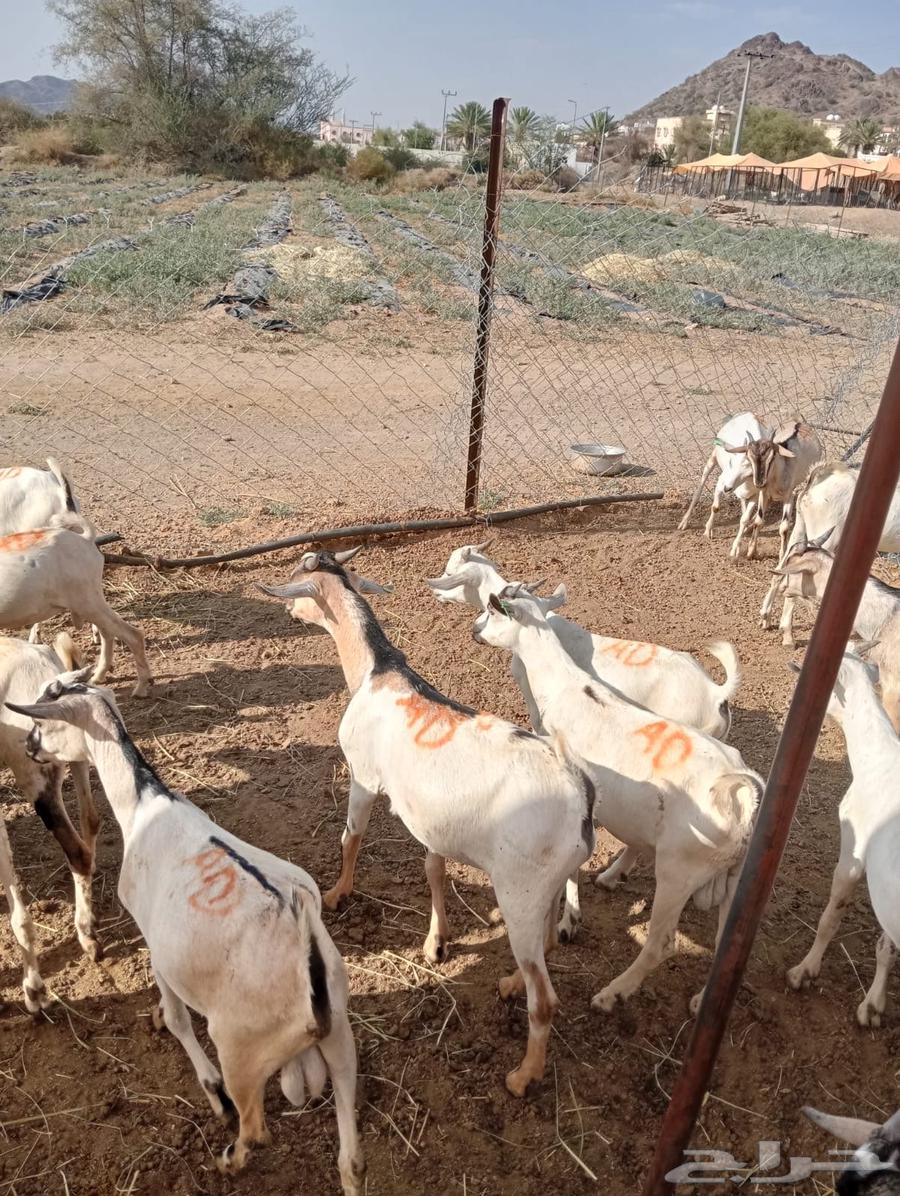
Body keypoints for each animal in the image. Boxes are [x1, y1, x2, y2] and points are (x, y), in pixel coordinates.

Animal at [0, 513, 151, 697]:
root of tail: (85, 540)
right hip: (91, 603)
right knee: (108, 633)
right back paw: (99, 675)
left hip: (87, 601)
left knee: (133, 635)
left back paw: (141, 687)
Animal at [5, 674, 365, 1192]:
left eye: (43, 720)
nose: (29, 748)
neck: (146, 804)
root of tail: (309, 967)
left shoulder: (157, 949)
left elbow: (178, 1019)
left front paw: (208, 1087)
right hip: (340, 1035)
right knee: (351, 1158)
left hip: (239, 1046)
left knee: (256, 1128)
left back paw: (228, 1155)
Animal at [259, 548, 594, 1098]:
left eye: (300, 576)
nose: (289, 611)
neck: (377, 672)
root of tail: (583, 804)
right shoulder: (433, 820)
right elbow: (433, 871)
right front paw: (436, 942)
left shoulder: (363, 776)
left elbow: (351, 836)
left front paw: (338, 893)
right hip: (544, 884)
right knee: (544, 945)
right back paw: (510, 982)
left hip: (518, 891)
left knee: (545, 998)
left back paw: (524, 1074)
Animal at [472, 589, 761, 1013]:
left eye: (492, 612)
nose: (474, 630)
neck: (564, 685)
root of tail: (740, 799)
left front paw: (568, 921)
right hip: (738, 872)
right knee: (728, 942)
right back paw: (700, 999)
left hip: (680, 869)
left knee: (661, 944)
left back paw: (612, 993)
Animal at [760, 462, 900, 644]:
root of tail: (816, 479)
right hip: (825, 534)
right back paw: (788, 636)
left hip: (801, 529)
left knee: (780, 570)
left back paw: (766, 617)